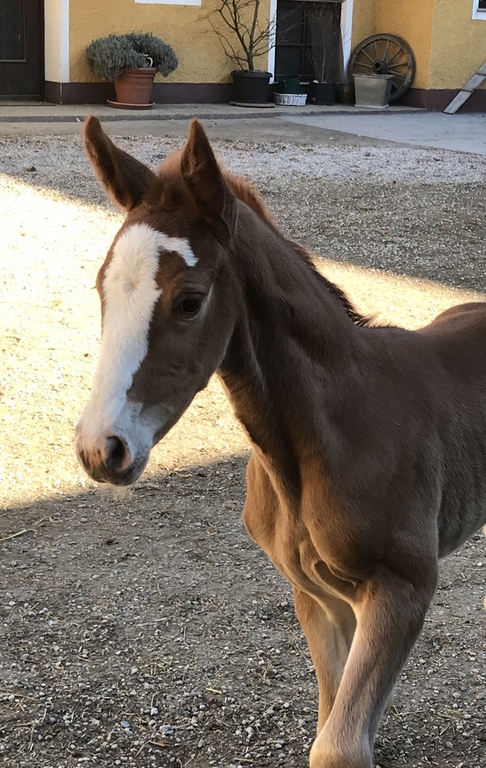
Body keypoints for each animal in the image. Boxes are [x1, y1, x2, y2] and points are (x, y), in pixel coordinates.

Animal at [76, 115, 486, 768]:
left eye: (190, 301)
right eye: (101, 290)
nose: (101, 449)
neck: (329, 436)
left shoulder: (403, 588)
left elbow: (338, 746)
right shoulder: (316, 595)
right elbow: (332, 712)